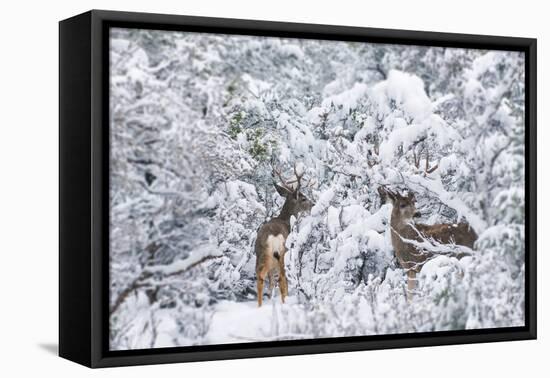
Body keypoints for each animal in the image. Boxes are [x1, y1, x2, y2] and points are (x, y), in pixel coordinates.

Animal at [256, 163, 314, 308]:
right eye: (303, 198)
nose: (313, 204)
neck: (285, 219)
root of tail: (273, 235)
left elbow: (271, 282)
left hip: (262, 254)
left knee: (261, 276)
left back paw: (259, 306)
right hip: (283, 253)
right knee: (282, 278)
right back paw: (285, 302)